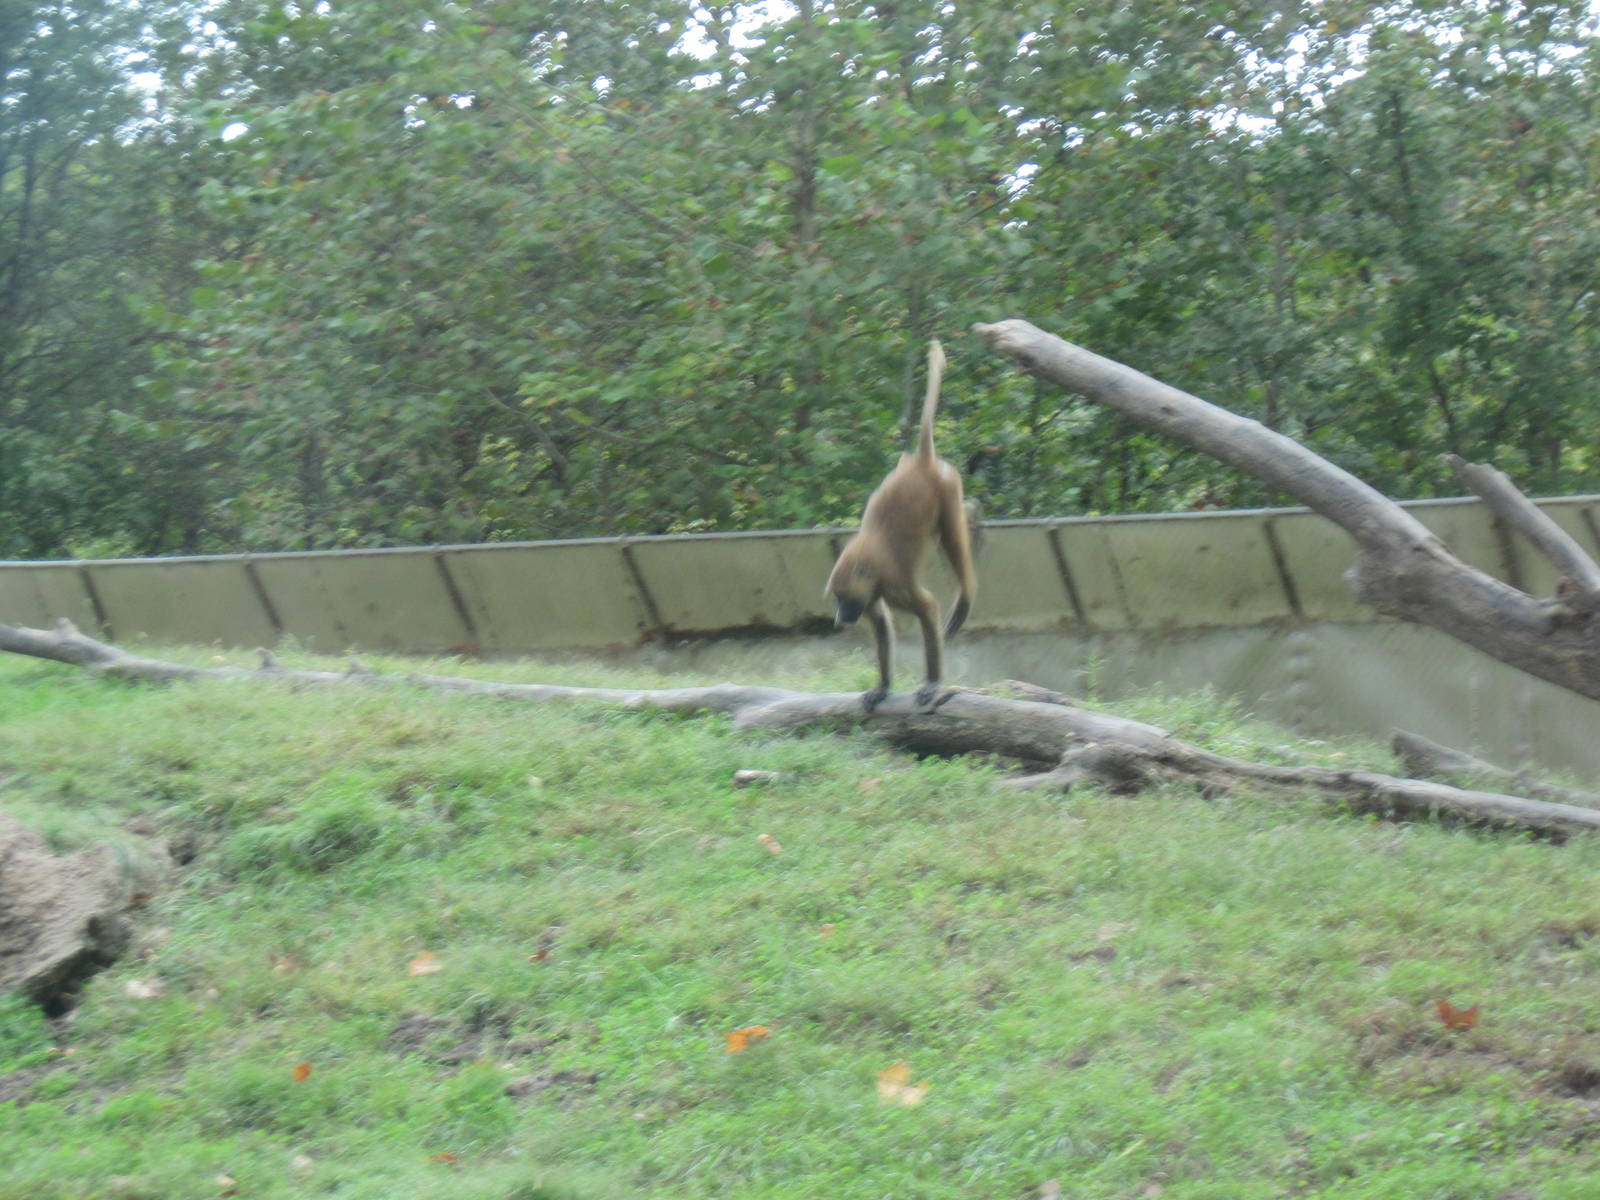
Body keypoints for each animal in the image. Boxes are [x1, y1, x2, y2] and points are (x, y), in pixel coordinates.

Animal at [825, 339, 978, 713]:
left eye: (842, 600)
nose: (839, 617)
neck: (867, 565)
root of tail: (920, 463)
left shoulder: (892, 584)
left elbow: (927, 607)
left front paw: (932, 682)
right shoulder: (871, 592)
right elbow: (881, 625)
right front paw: (882, 686)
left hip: (947, 486)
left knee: (953, 541)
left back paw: (966, 597)